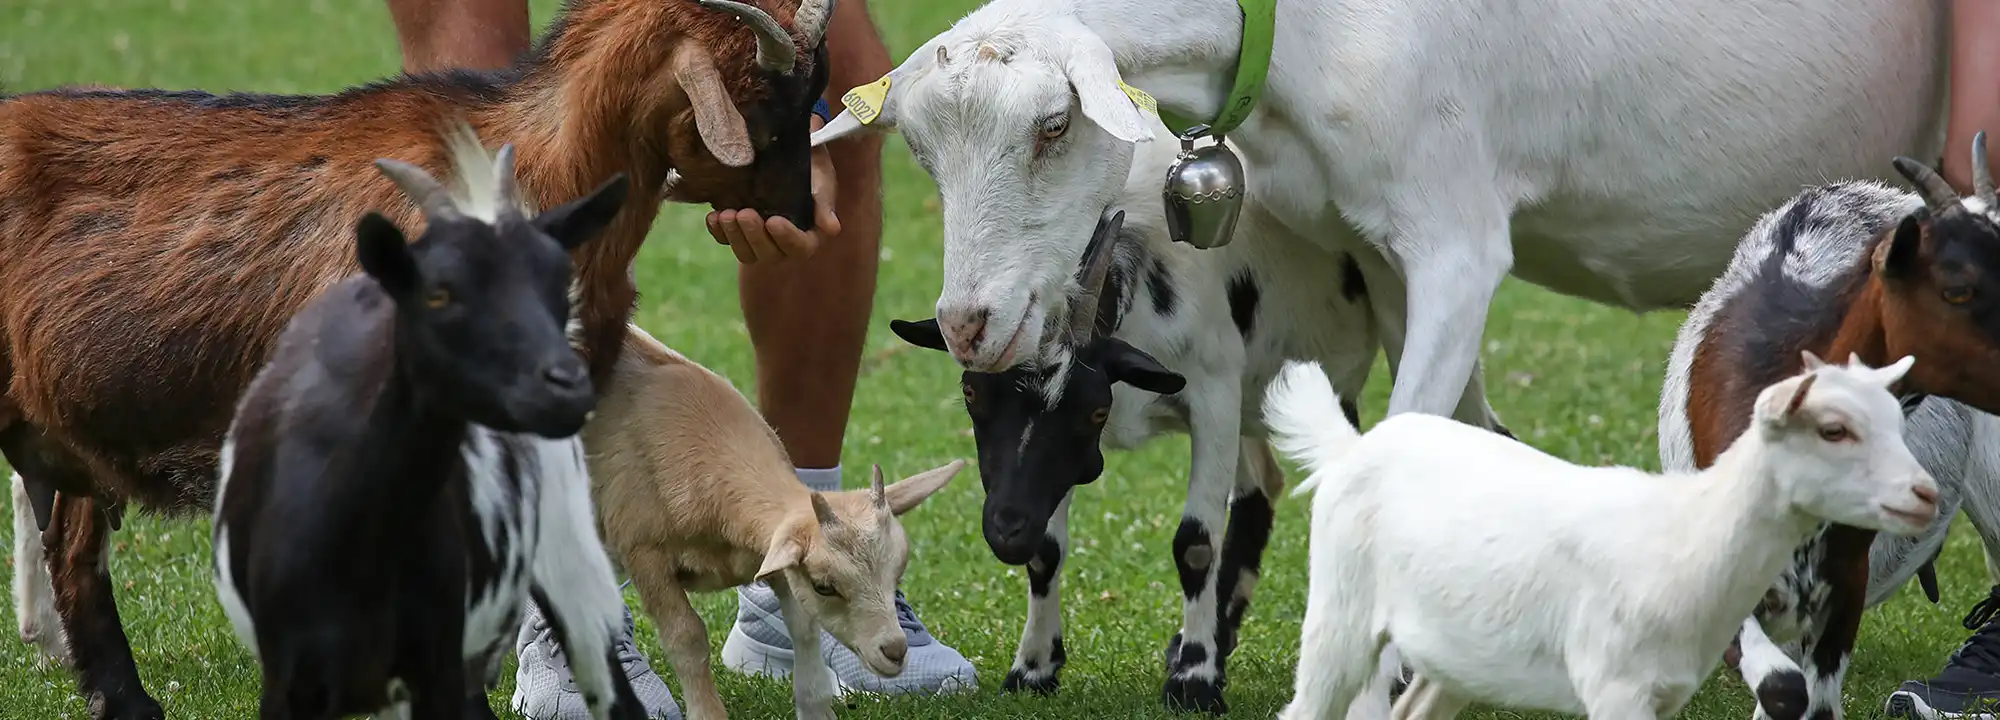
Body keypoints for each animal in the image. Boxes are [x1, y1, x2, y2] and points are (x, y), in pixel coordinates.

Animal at [209, 128, 642, 719]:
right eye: (438, 293)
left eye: (561, 283)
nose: (568, 387)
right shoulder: (291, 681)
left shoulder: (436, 664)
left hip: (570, 558)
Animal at [581, 323, 962, 720]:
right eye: (824, 586)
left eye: (897, 574)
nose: (895, 651)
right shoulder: (643, 552)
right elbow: (687, 636)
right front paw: (707, 712)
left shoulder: (776, 562)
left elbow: (804, 628)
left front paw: (816, 708)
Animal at [887, 124, 1485, 711]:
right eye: (971, 393)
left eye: (1093, 410)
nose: (1005, 530)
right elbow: (1049, 552)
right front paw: (1033, 668)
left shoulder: (1212, 395)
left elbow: (1196, 543)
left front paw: (1195, 680)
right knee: (1260, 488)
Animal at [1266, 353, 1939, 720]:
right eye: (1833, 429)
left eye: (1896, 419)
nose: (1925, 495)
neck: (1688, 536)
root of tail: (1350, 446)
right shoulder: (1614, 685)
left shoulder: (1661, 693)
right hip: (1340, 615)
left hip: (1456, 656)